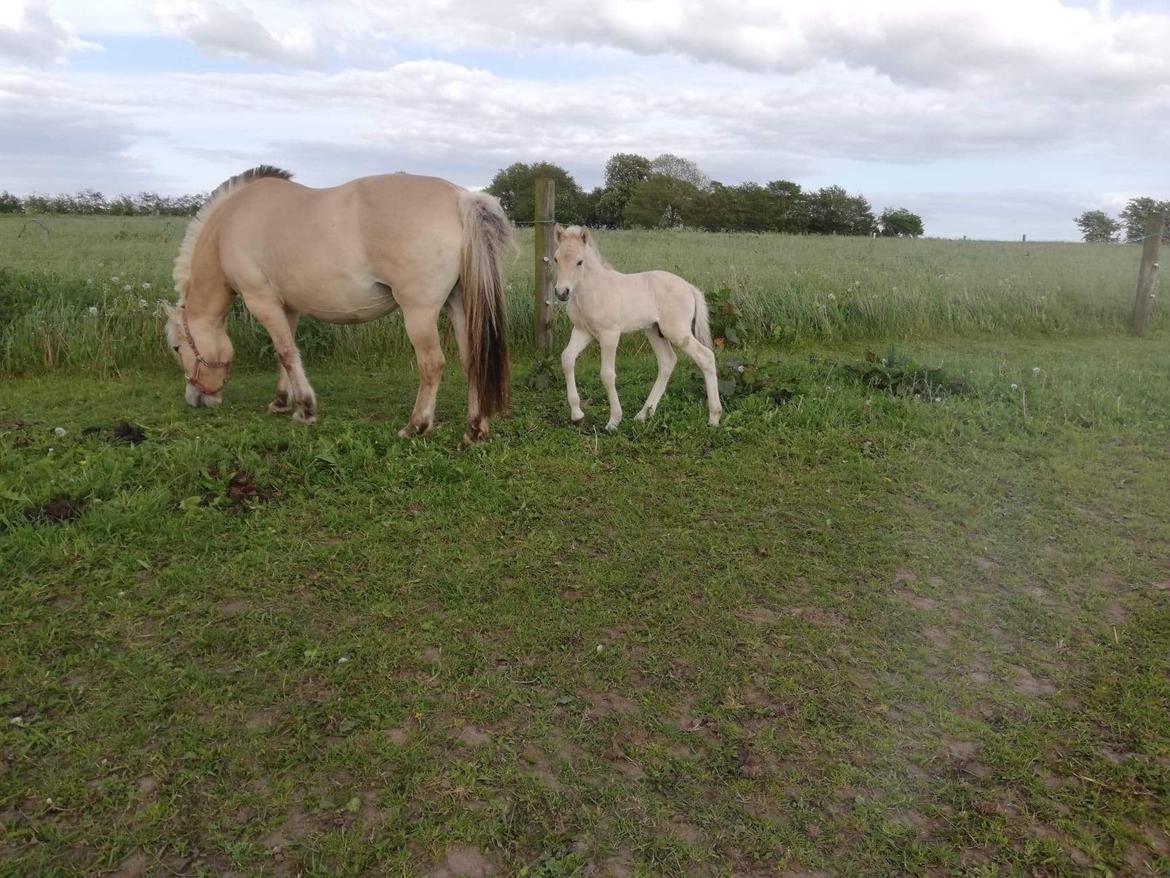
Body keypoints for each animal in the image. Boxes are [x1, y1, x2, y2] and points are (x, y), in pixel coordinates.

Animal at [166, 167, 512, 447]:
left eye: (175, 347)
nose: (195, 400)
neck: (230, 224)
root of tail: (460, 198)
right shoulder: (287, 308)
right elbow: (285, 354)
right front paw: (282, 401)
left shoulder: (261, 300)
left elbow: (286, 353)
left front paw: (305, 409)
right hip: (459, 305)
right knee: (472, 360)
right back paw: (475, 429)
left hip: (420, 312)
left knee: (432, 364)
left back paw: (415, 426)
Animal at [549, 224, 720, 430]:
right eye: (556, 258)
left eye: (579, 262)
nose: (562, 292)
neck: (592, 291)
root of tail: (689, 287)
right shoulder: (583, 331)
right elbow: (567, 359)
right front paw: (577, 415)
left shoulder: (610, 334)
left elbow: (607, 374)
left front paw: (614, 420)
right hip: (654, 330)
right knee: (667, 362)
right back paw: (643, 414)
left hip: (677, 332)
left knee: (706, 357)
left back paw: (714, 418)